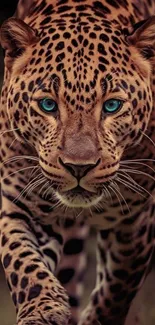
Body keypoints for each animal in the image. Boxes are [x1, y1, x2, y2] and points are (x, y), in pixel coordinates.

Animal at [0, 0, 154, 322]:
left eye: (112, 106)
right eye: (48, 105)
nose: (78, 167)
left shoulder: (136, 221)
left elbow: (117, 288)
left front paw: (97, 318)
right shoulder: (20, 202)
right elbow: (21, 261)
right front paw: (41, 309)